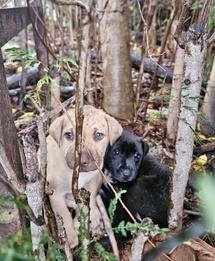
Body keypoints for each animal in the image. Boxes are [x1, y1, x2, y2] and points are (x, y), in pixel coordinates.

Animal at [45, 104, 122, 247]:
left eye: (98, 135)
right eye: (69, 135)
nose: (82, 161)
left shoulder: (94, 178)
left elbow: (91, 198)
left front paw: (93, 216)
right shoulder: (55, 192)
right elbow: (64, 213)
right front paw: (70, 236)